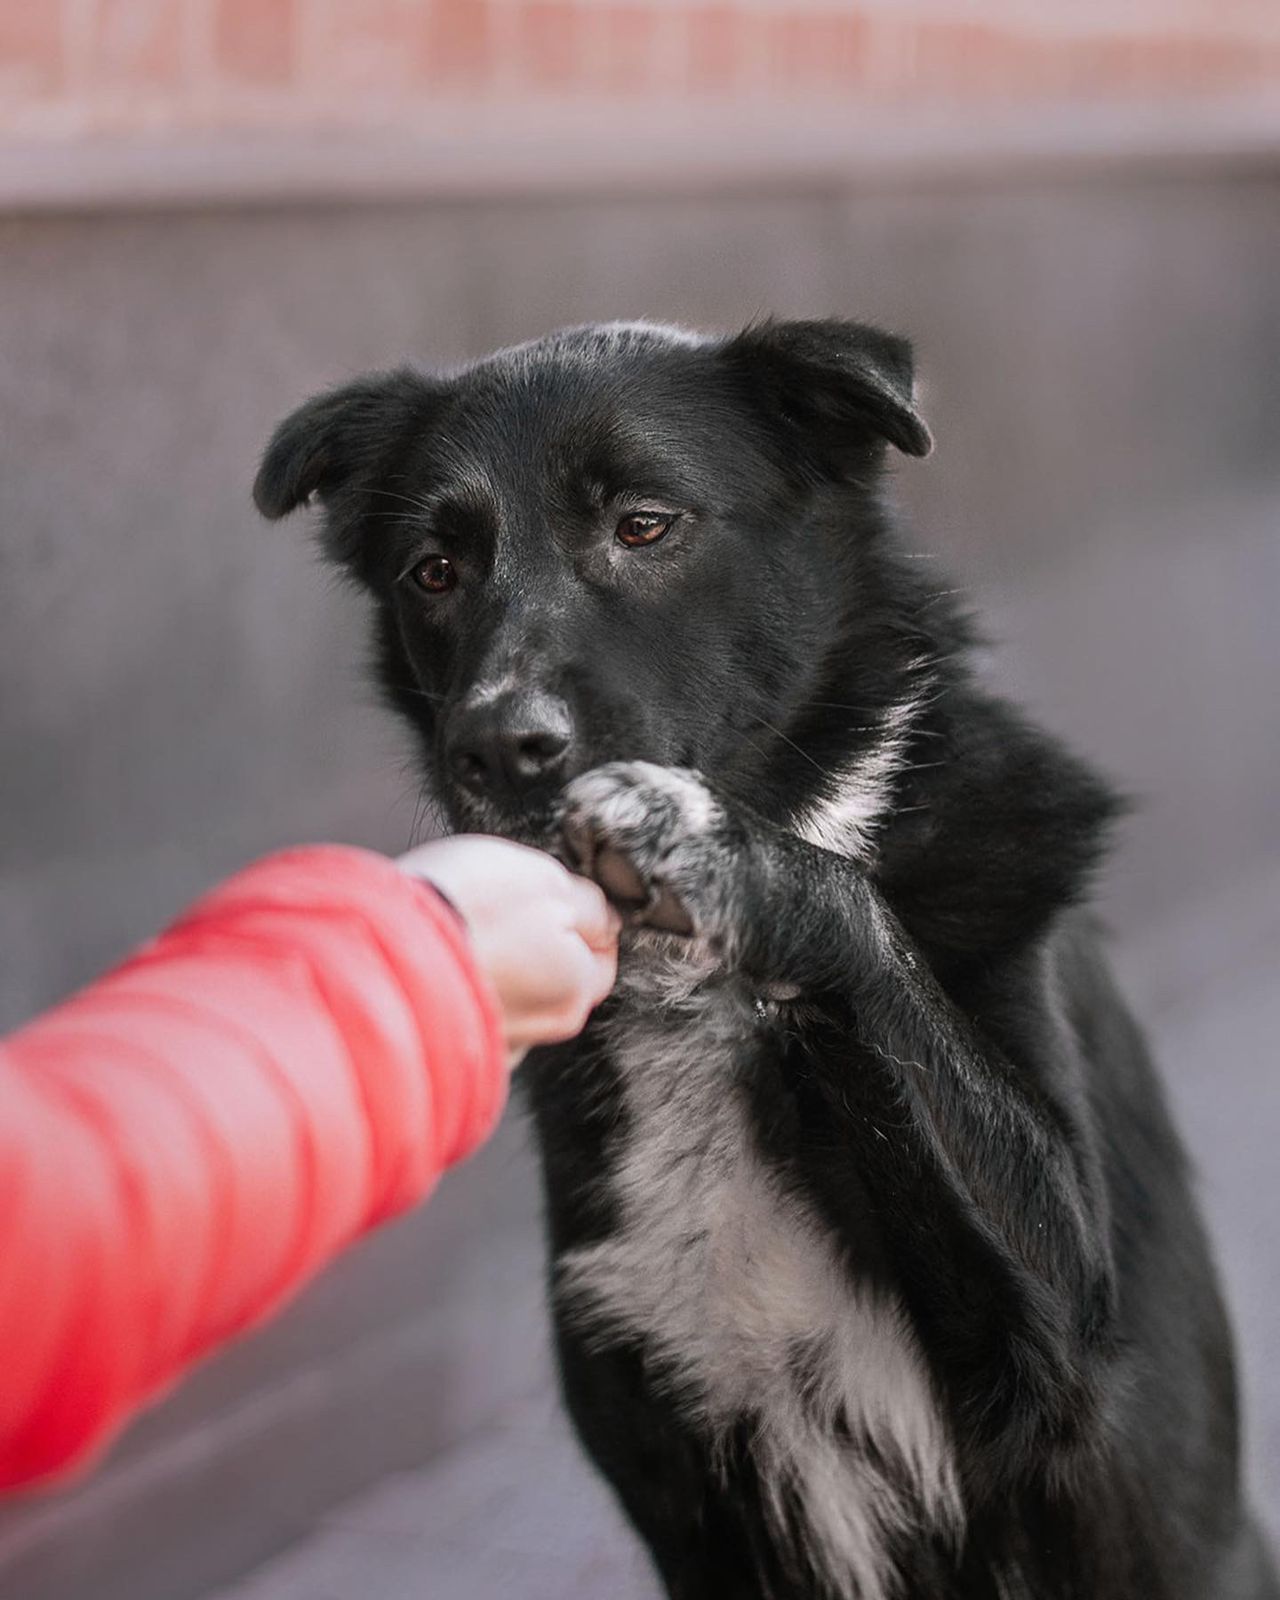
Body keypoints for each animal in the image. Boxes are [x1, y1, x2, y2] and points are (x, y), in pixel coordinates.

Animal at [254, 318, 1273, 1593]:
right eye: (431, 572)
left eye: (643, 524)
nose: (495, 745)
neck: (698, 1001)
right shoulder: (673, 1464)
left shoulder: (1063, 1330)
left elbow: (843, 907)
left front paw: (712, 848)